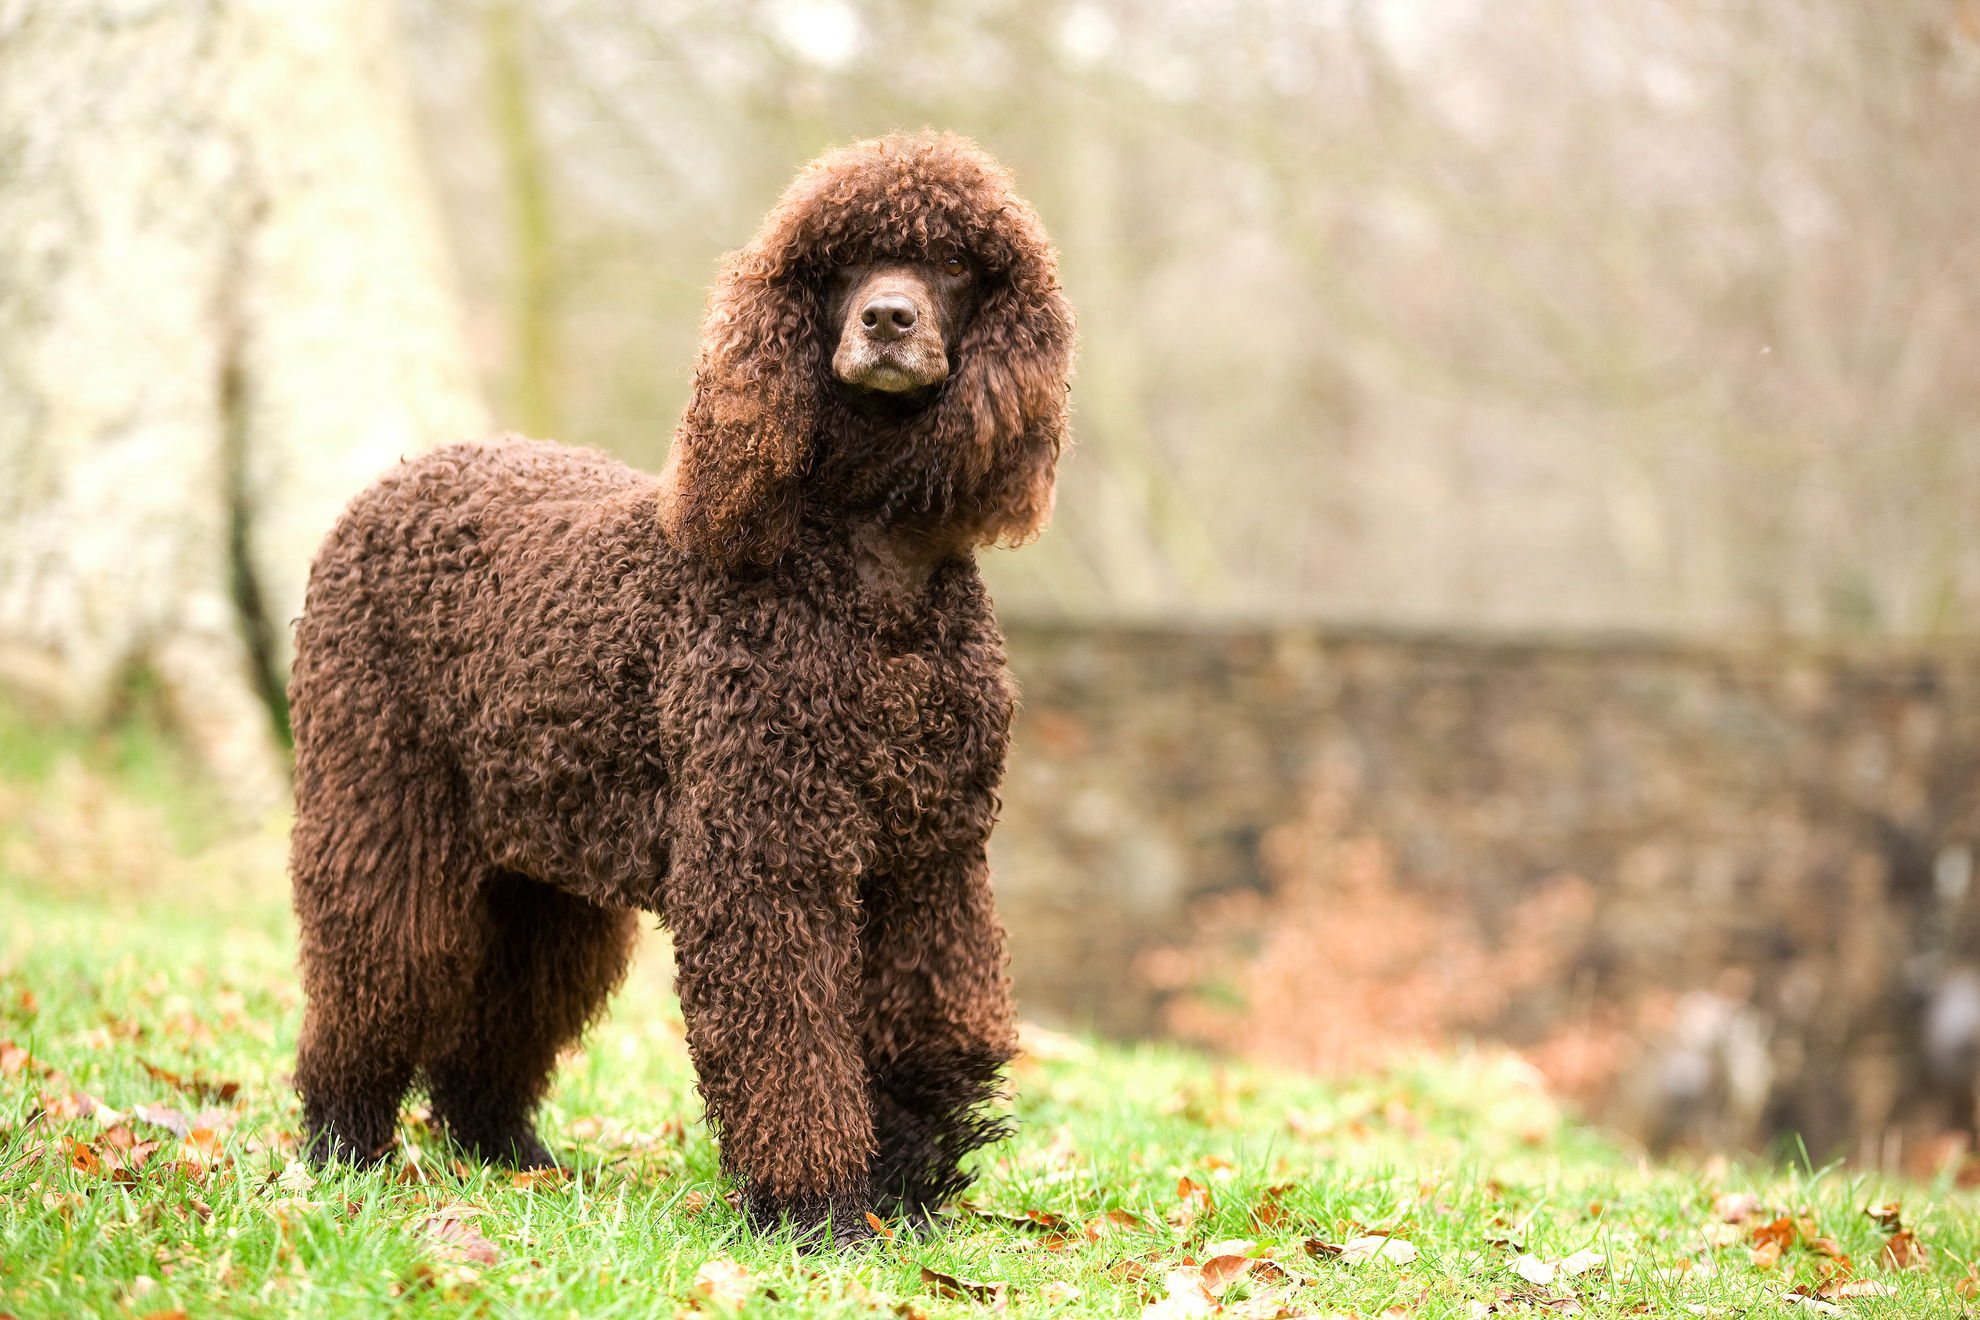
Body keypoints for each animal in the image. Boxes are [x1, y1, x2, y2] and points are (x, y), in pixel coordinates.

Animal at [287, 128, 1077, 1242]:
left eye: (958, 265)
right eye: (839, 263)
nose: (888, 319)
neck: (870, 575)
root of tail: (398, 476)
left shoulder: (932, 857)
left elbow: (922, 1026)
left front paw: (908, 1187)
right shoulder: (767, 853)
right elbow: (788, 1034)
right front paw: (819, 1210)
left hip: (541, 862)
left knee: (505, 1009)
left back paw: (507, 1153)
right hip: (382, 803)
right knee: (377, 968)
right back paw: (341, 1142)